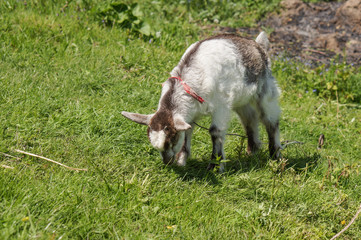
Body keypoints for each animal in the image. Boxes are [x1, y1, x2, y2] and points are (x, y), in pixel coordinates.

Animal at [121, 31, 282, 172]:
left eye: (172, 139)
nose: (167, 162)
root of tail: (258, 45)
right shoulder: (188, 115)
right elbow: (188, 130)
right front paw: (181, 161)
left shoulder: (222, 106)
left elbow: (215, 131)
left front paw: (215, 167)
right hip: (242, 100)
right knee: (250, 119)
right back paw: (252, 151)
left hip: (266, 93)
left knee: (271, 121)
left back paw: (276, 157)